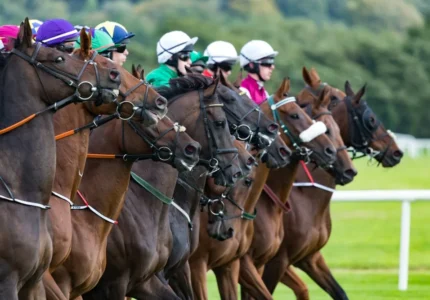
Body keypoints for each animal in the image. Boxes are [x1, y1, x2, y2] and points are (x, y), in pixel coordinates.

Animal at [260, 67, 404, 300]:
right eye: (371, 119)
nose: (396, 152)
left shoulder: (309, 257)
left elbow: (335, 292)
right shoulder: (276, 260)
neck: (304, 194)